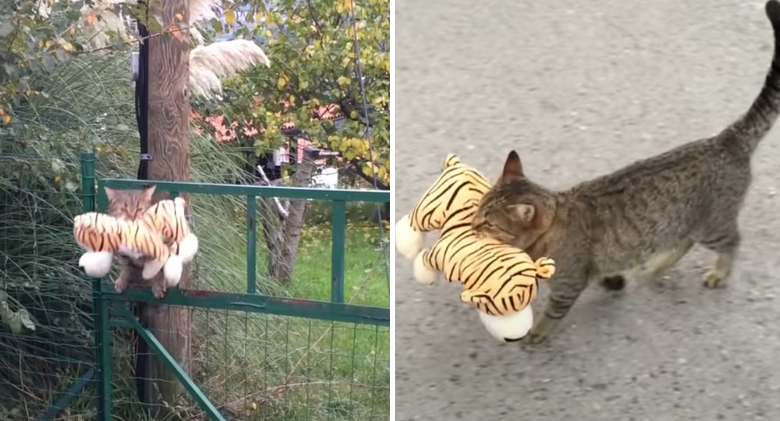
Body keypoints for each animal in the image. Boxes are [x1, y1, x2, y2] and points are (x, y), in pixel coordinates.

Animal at [472, 0, 780, 342]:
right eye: (479, 209)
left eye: (488, 221)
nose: (472, 224)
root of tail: (725, 139)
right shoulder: (590, 269)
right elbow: (604, 274)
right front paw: (614, 282)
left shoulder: (569, 283)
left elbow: (553, 313)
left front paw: (536, 334)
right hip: (683, 221)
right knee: (684, 240)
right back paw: (659, 265)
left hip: (711, 225)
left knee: (733, 241)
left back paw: (719, 271)